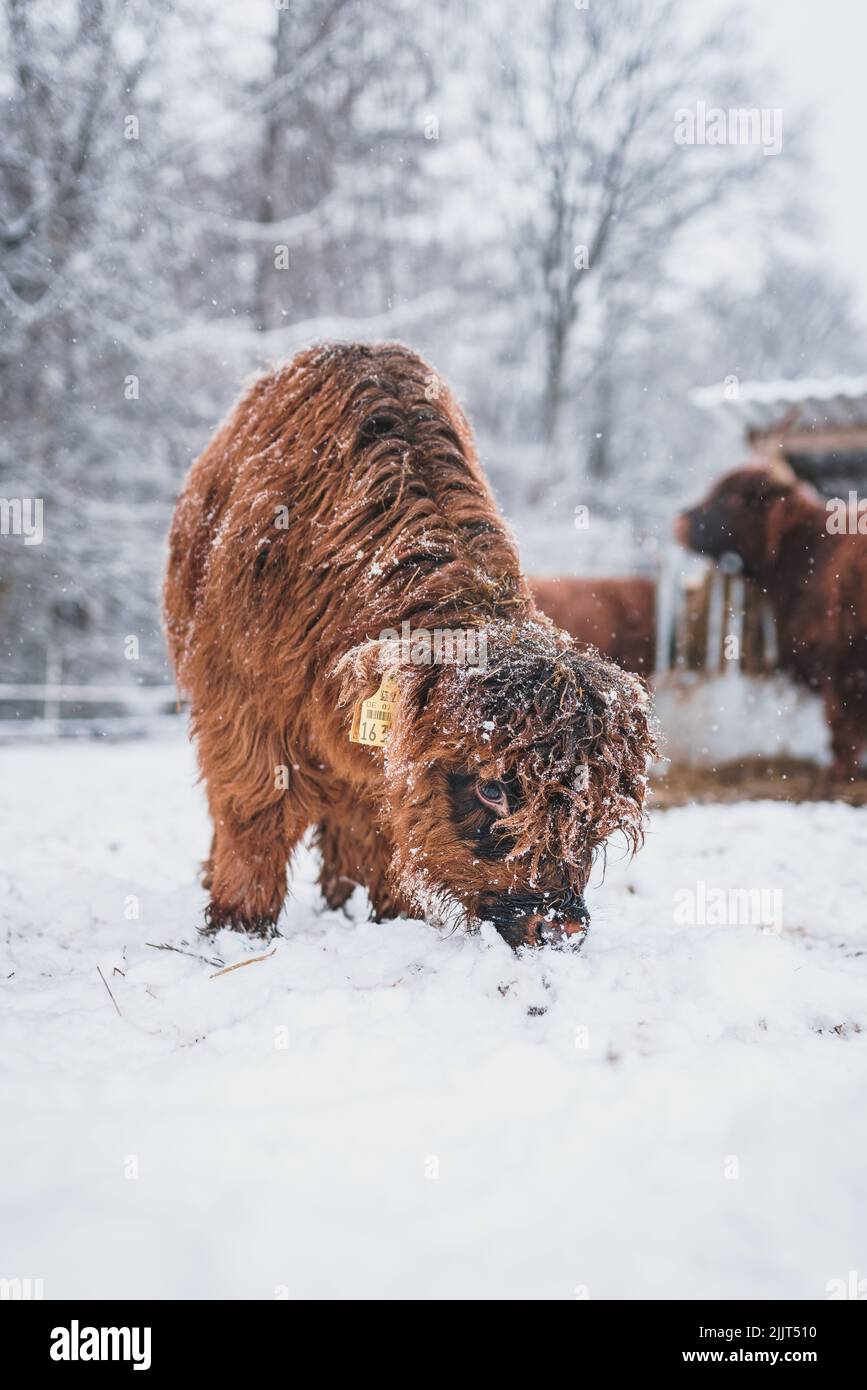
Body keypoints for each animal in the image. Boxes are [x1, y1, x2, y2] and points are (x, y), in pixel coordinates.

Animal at [163, 339, 655, 945]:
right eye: (493, 789)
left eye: (596, 803)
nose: (559, 926)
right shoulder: (242, 707)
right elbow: (256, 812)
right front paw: (240, 926)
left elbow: (384, 827)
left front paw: (395, 916)